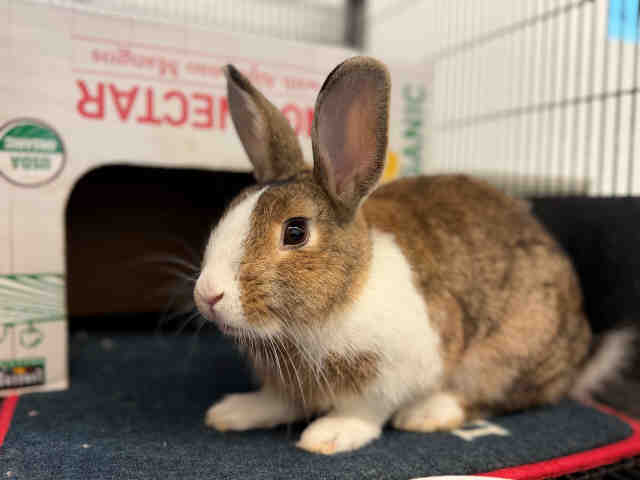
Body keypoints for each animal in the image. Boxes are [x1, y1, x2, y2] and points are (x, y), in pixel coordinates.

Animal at [193, 56, 627, 455]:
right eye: (231, 209)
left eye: (295, 232)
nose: (207, 295)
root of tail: (578, 354)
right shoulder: (286, 386)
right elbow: (278, 401)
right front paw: (232, 413)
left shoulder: (398, 370)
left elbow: (365, 410)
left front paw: (328, 437)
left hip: (509, 352)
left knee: (497, 396)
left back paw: (426, 414)